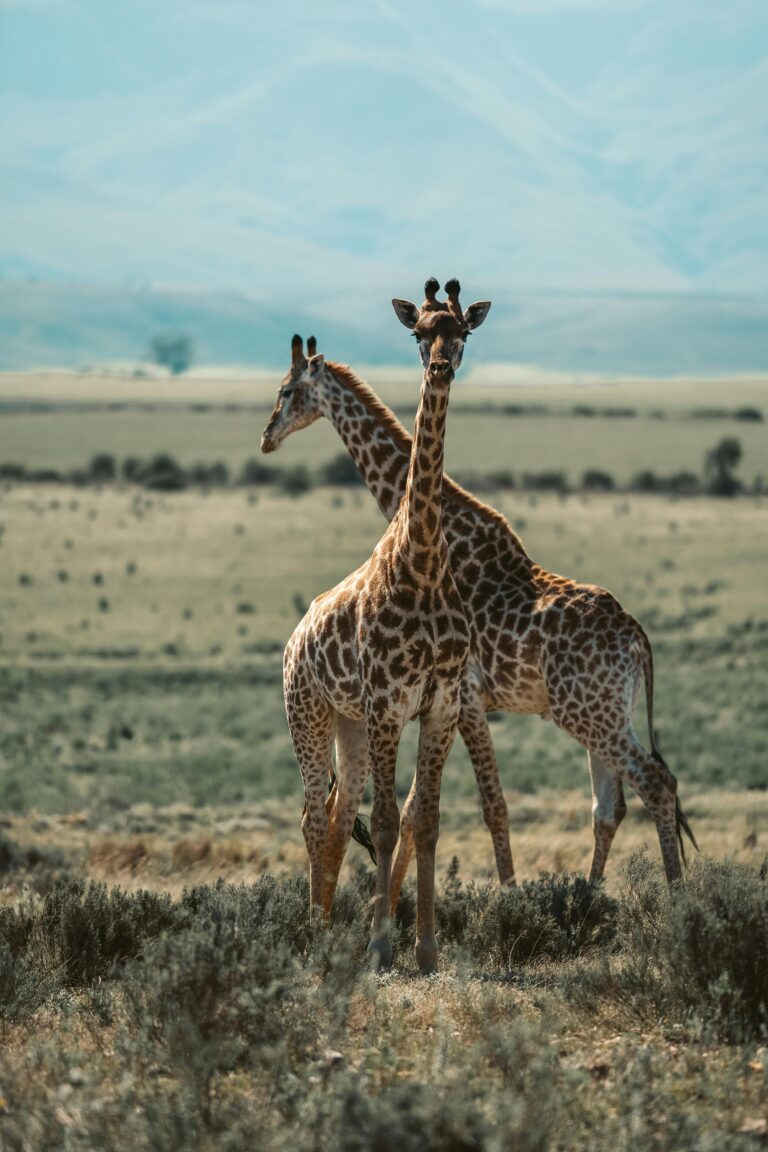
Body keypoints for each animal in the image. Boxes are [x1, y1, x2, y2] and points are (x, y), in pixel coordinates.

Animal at [263, 323, 698, 893]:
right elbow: (422, 810)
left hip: (586, 711)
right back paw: (589, 895)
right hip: (607, 709)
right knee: (611, 804)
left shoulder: (464, 696)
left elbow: (484, 807)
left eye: (286, 391)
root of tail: (637, 638)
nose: (267, 436)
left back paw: (676, 896)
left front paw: (505, 896)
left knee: (655, 781)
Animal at [280, 278, 490, 973]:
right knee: (312, 815)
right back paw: (315, 934)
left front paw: (424, 948)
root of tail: (293, 640)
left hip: (346, 724)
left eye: (462, 330)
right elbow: (391, 820)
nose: (440, 366)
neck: (422, 561)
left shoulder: (441, 702)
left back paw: (326, 928)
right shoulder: (388, 702)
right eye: (418, 331)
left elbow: (427, 820)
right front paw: (378, 945)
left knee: (336, 815)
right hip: (309, 712)